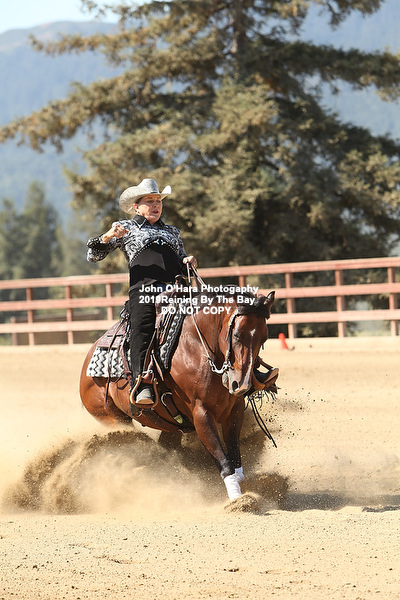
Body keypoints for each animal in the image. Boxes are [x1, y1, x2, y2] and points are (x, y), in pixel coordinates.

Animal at [79, 287, 278, 503]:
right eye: (237, 335)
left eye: (263, 339)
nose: (241, 384)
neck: (197, 349)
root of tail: (88, 360)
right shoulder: (201, 414)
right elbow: (223, 458)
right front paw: (237, 499)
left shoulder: (234, 410)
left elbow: (234, 452)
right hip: (112, 418)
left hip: (169, 425)